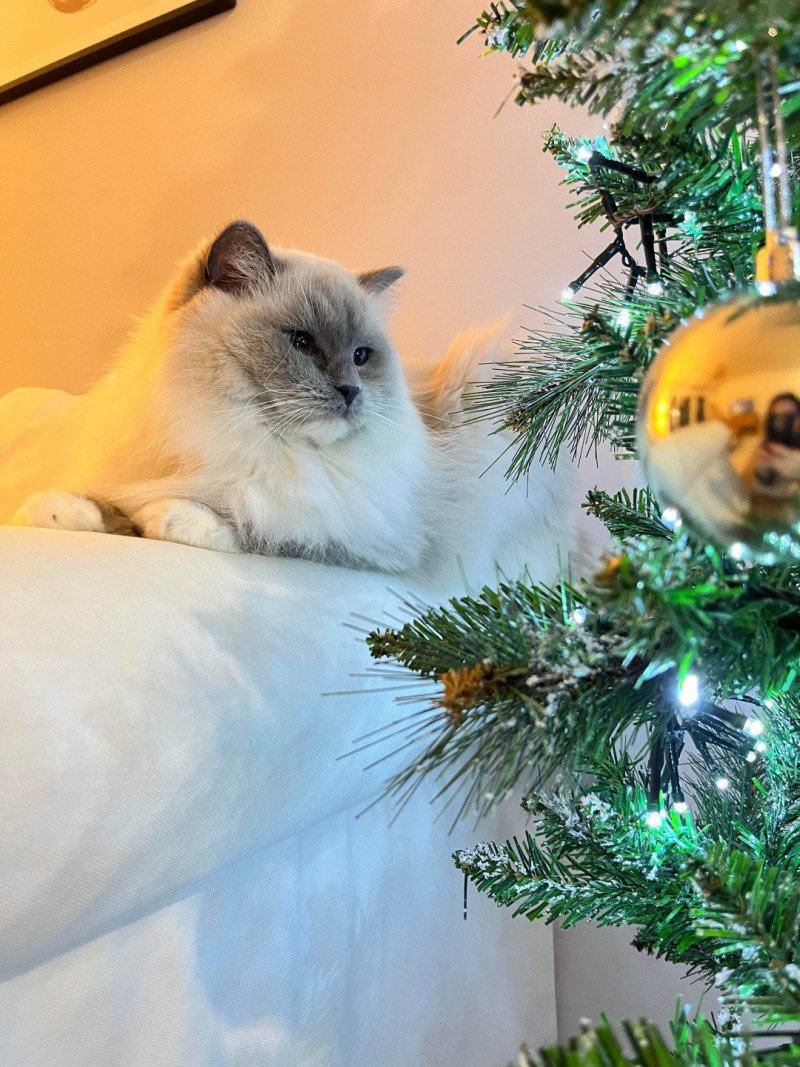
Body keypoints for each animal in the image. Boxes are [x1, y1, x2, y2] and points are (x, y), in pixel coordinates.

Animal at [4, 218, 456, 576]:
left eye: (361, 357)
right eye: (301, 342)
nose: (350, 391)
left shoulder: (356, 540)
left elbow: (258, 529)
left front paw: (169, 518)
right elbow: (109, 508)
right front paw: (59, 511)